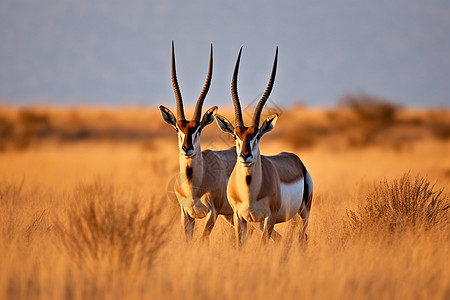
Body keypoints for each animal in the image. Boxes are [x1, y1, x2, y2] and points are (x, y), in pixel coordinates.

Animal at [158, 41, 237, 241]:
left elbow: (203, 241)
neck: (194, 186)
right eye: (177, 128)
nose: (187, 148)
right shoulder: (186, 216)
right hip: (231, 216)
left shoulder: (212, 214)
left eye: (199, 128)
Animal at [214, 47, 312, 247]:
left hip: (303, 214)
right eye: (235, 135)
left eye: (257, 135)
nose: (245, 156)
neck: (250, 192)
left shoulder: (269, 218)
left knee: (302, 238)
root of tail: (296, 160)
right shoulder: (239, 218)